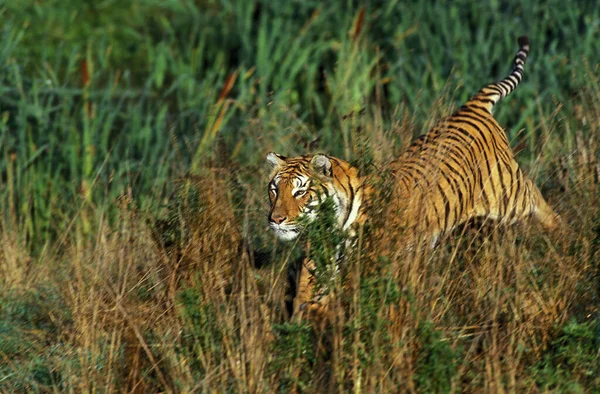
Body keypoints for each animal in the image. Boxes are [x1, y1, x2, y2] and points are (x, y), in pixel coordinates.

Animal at [264, 36, 560, 320]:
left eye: (300, 192)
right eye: (274, 190)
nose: (275, 220)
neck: (331, 225)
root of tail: (471, 107)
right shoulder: (318, 260)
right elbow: (307, 294)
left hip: (508, 196)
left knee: (535, 194)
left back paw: (559, 232)